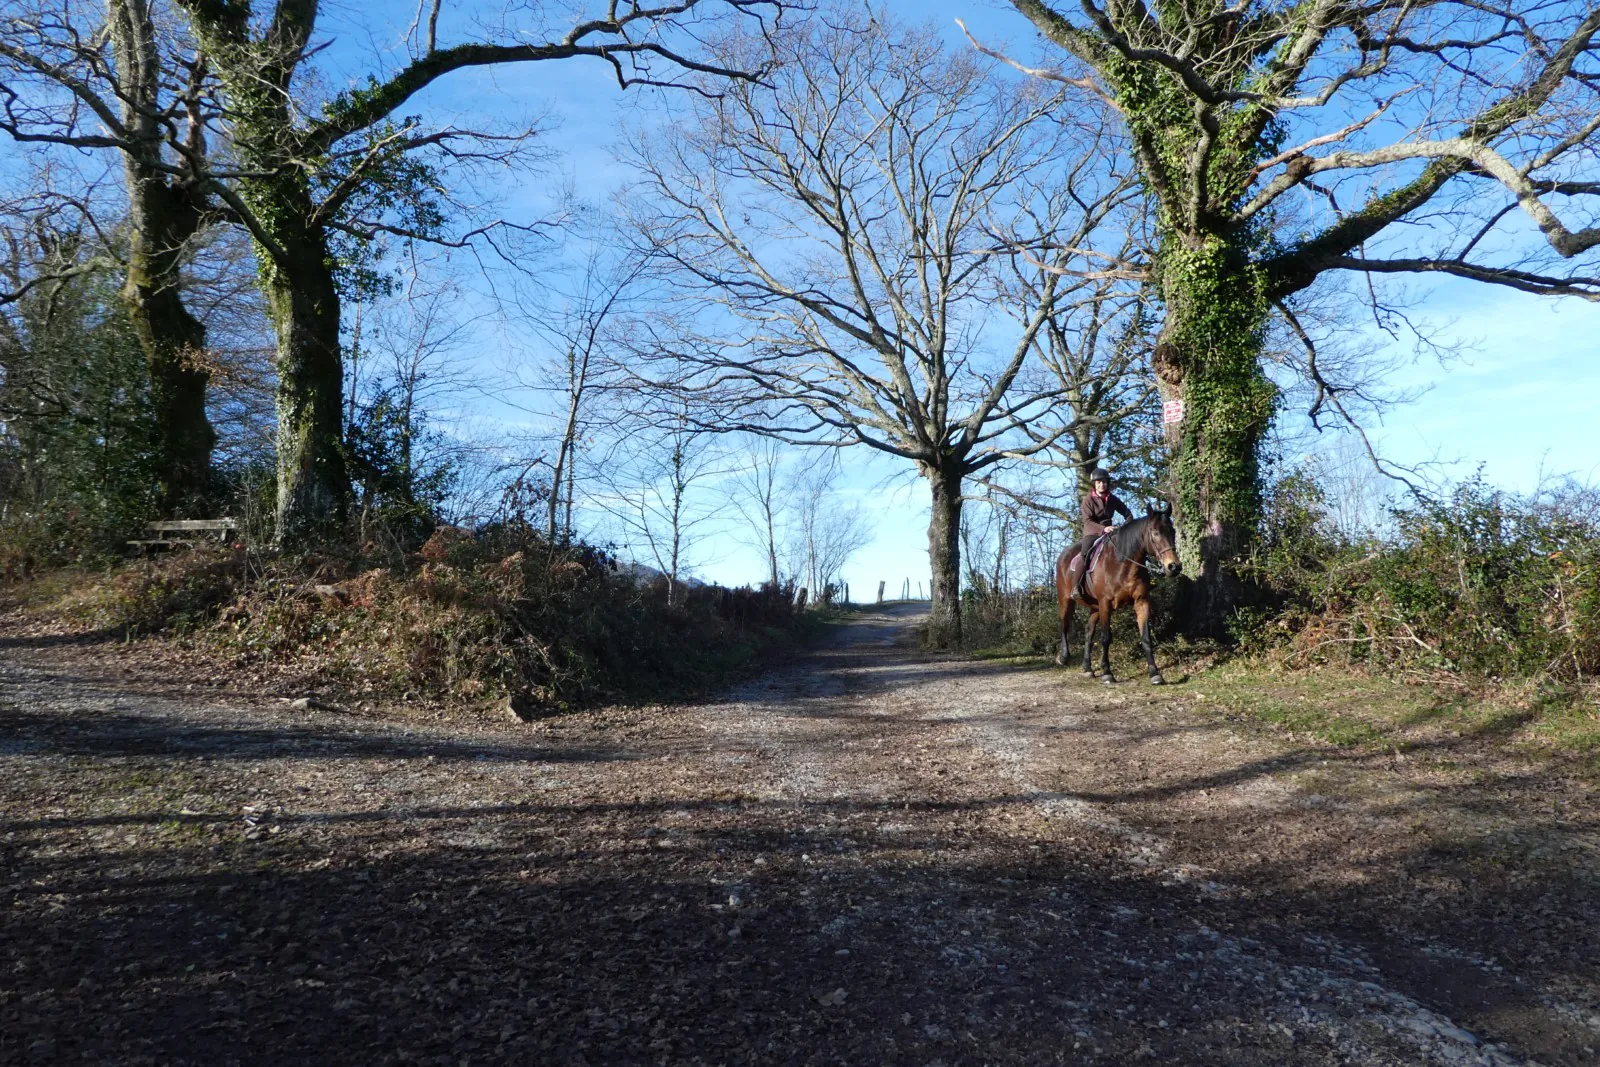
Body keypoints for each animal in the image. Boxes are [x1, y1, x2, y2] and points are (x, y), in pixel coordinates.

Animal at [1056, 508, 1184, 684]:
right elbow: (1105, 637)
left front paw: (1155, 673)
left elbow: (1146, 638)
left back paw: (1087, 668)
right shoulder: (1105, 603)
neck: (1122, 563)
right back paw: (1063, 657)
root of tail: (1064, 555)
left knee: (1088, 632)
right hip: (1066, 600)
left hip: (1094, 607)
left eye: (1173, 531)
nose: (1174, 566)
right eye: (1155, 532)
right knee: (1064, 625)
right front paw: (1107, 673)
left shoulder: (1141, 602)